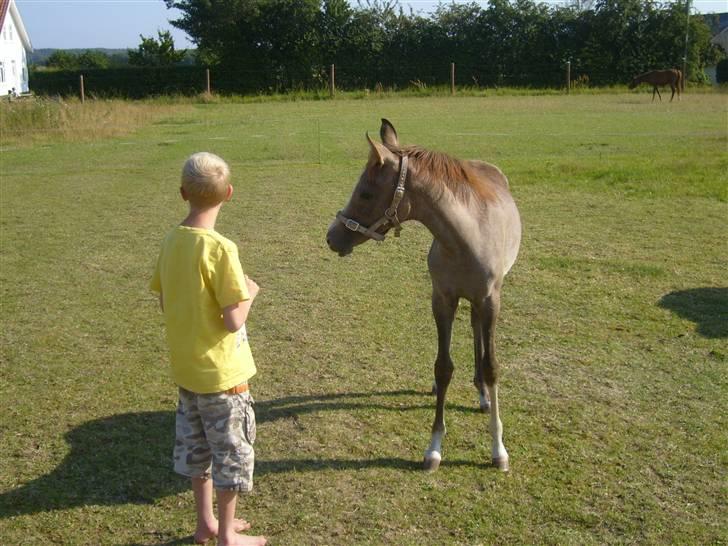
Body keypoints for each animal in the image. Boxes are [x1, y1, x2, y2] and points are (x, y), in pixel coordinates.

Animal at [328, 121, 520, 470]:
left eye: (365, 193)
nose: (331, 237)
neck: (464, 240)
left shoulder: (491, 301)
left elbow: (492, 366)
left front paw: (498, 449)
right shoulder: (442, 299)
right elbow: (443, 368)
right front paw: (434, 448)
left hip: (481, 301)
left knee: (477, 332)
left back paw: (484, 395)